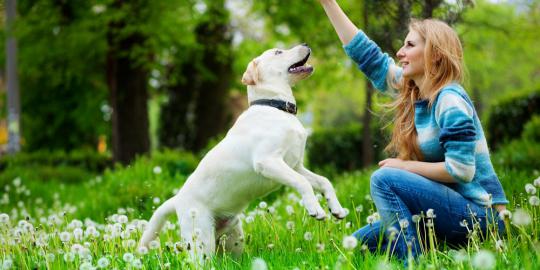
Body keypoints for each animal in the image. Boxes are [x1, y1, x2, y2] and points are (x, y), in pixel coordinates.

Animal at [139, 44, 348, 262]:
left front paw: (336, 208)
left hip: (234, 238)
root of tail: (178, 199)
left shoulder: (295, 165)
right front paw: (315, 208)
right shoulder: (268, 162)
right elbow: (303, 183)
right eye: (278, 52)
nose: (306, 44)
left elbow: (324, 181)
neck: (275, 107)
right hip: (201, 240)